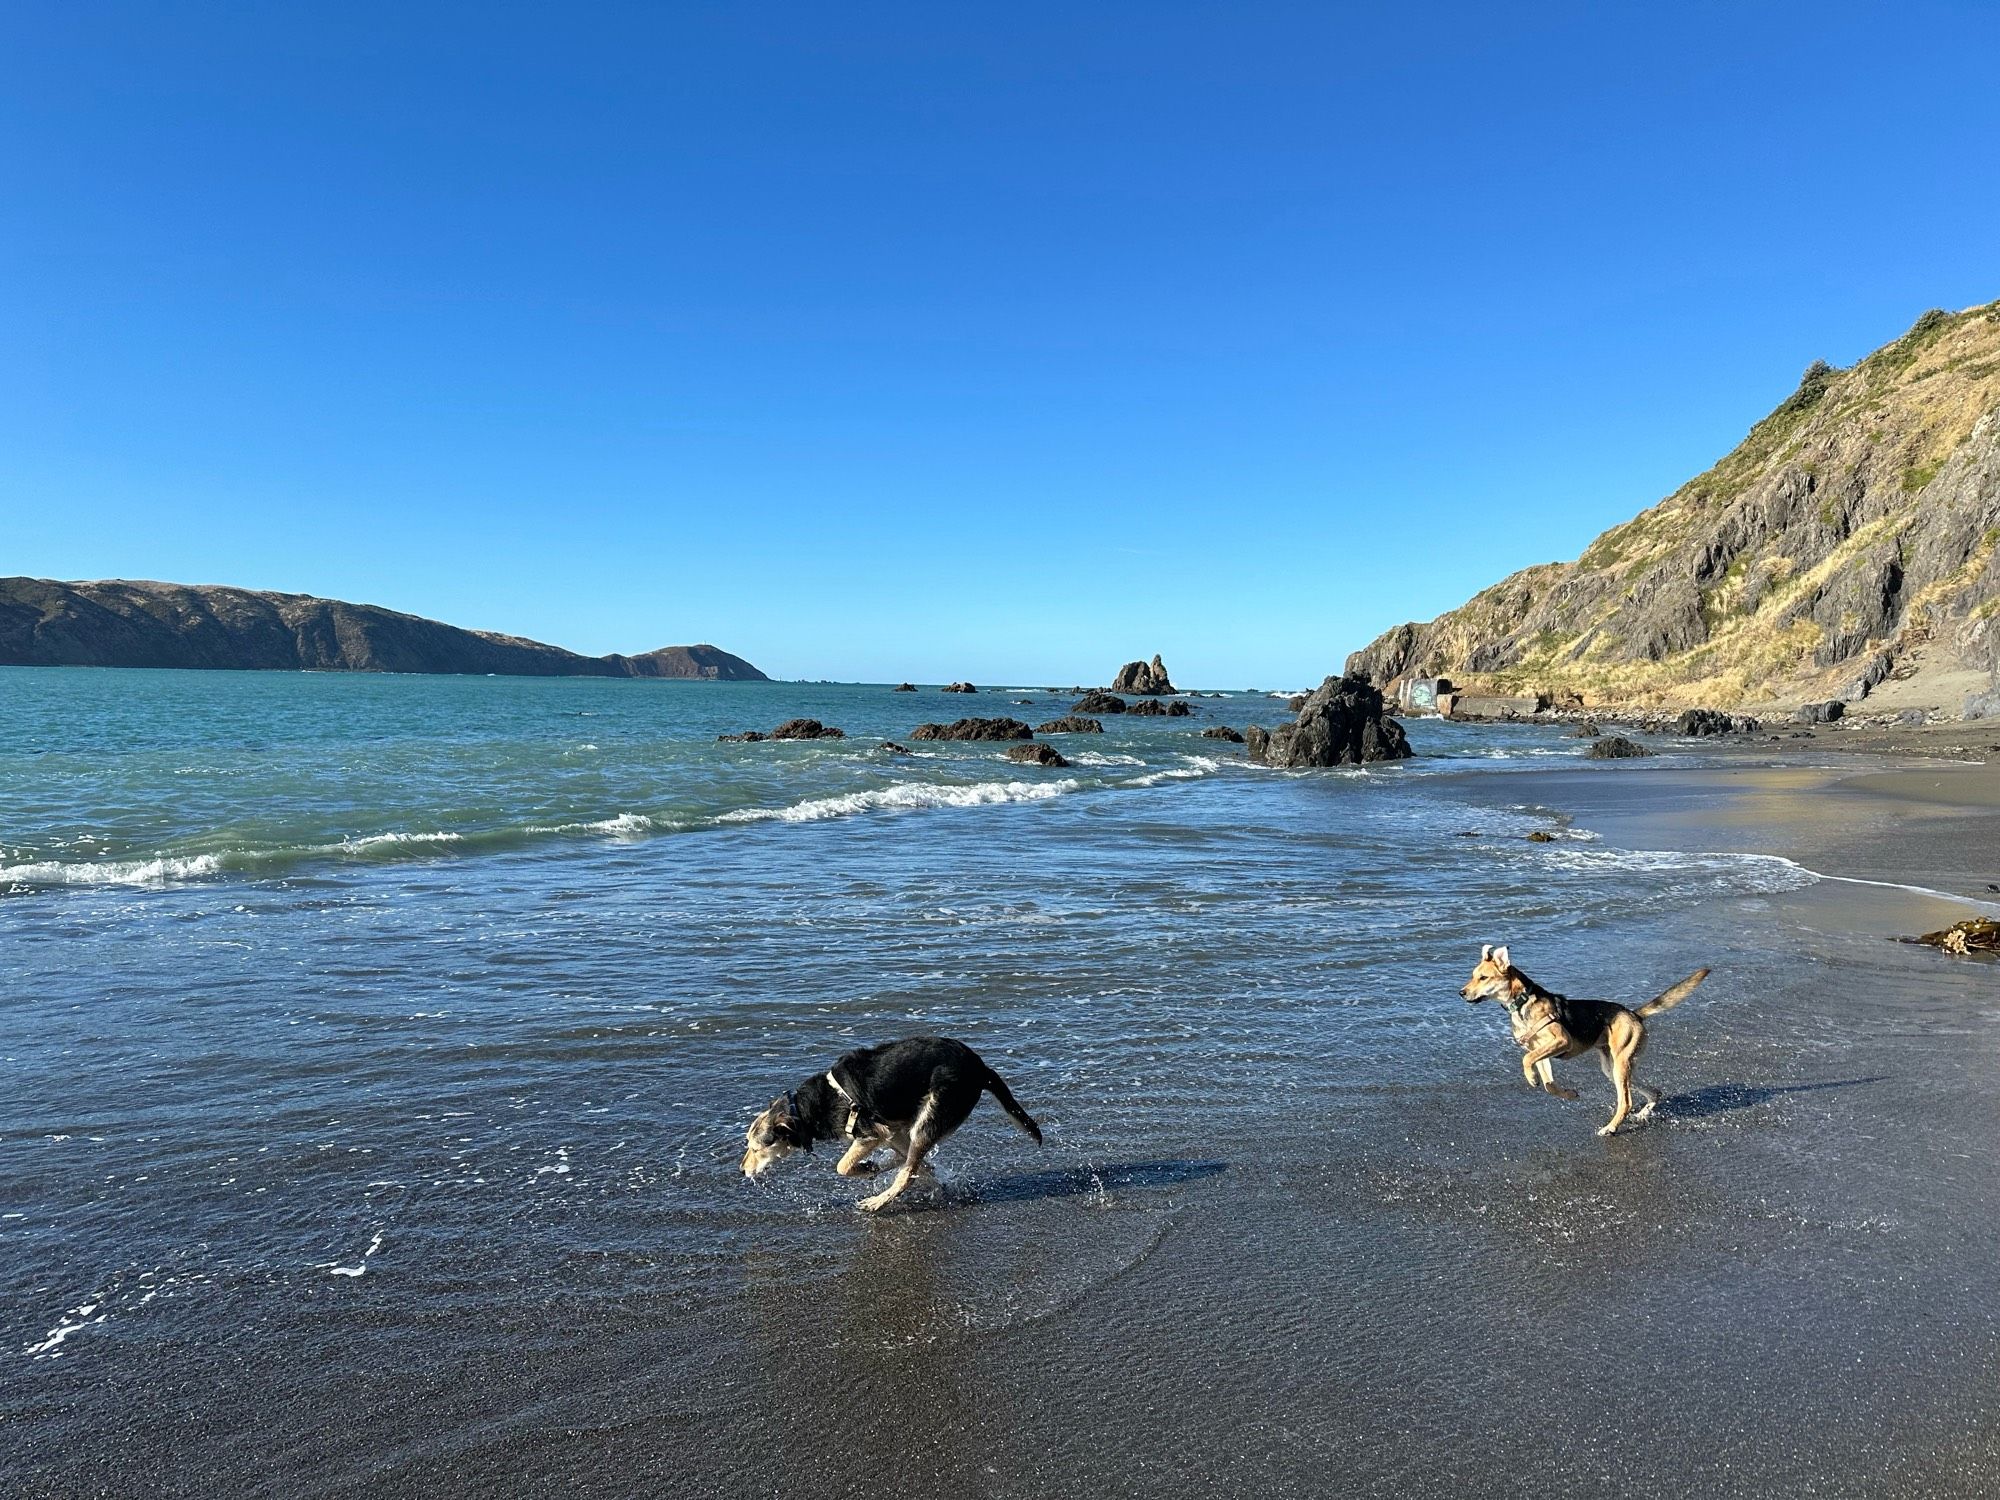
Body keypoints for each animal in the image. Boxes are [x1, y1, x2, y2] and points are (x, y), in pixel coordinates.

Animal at [740, 1040, 1048, 1216]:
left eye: (757, 1148)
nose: (742, 1170)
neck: (804, 1109)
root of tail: (980, 1068)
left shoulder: (872, 1132)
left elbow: (842, 1166)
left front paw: (865, 1168)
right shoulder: (889, 1132)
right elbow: (912, 1162)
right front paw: (875, 1166)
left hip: (933, 1113)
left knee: (906, 1174)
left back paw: (878, 1200)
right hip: (917, 1122)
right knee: (912, 1162)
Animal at [1464, 952, 1712, 1136]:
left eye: (1483, 978)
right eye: (1473, 976)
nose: (1461, 992)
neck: (1523, 1002)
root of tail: (1633, 1014)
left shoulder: (1561, 1040)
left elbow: (1526, 1059)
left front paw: (1531, 1077)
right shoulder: (1541, 1053)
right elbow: (1549, 1084)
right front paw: (1569, 1094)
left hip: (1620, 1066)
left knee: (1626, 1101)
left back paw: (1611, 1127)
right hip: (1613, 1068)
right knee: (1653, 1092)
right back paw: (1644, 1112)